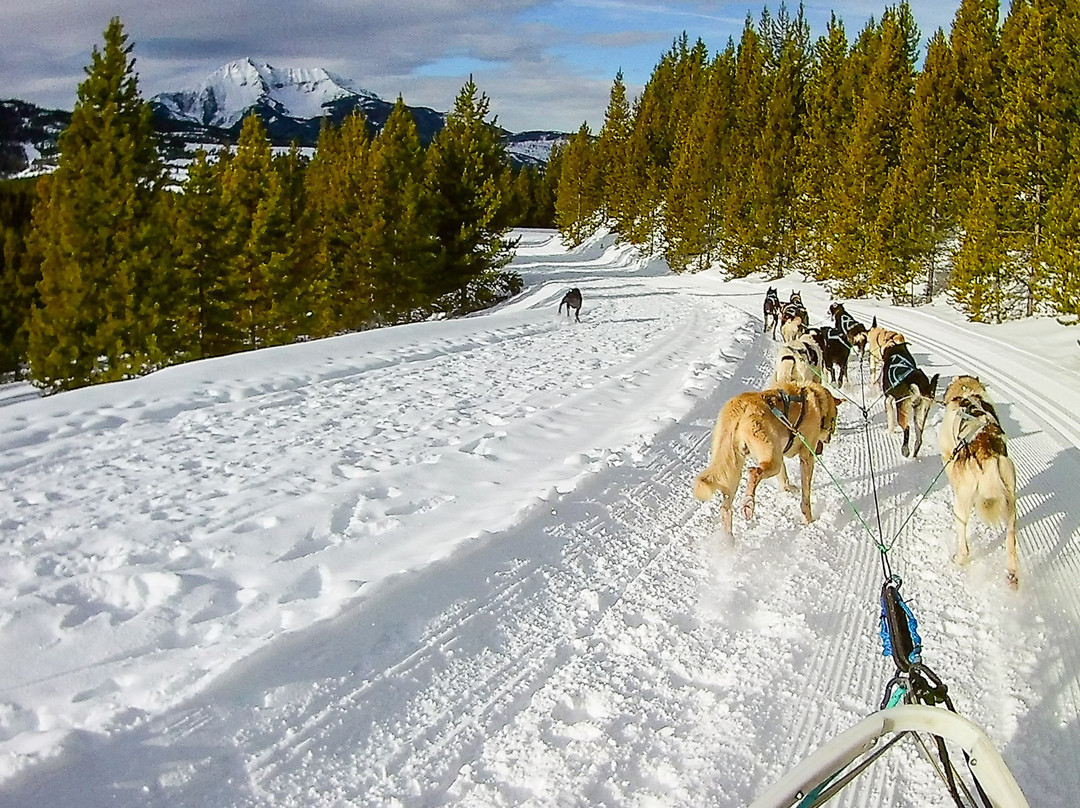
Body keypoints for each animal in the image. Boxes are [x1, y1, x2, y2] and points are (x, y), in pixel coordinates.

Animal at [691, 382, 842, 540]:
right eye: (834, 421)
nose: (829, 438)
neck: (816, 401)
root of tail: (741, 406)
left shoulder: (780, 452)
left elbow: (784, 476)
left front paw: (787, 488)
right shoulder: (806, 457)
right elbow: (805, 495)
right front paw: (807, 519)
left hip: (734, 469)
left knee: (725, 507)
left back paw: (728, 539)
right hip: (771, 461)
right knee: (754, 472)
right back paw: (748, 505)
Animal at [941, 371, 1015, 587]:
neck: (967, 393)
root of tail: (988, 456)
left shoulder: (947, 455)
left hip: (961, 507)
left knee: (964, 547)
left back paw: (959, 558)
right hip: (1011, 507)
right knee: (1011, 543)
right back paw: (1013, 577)